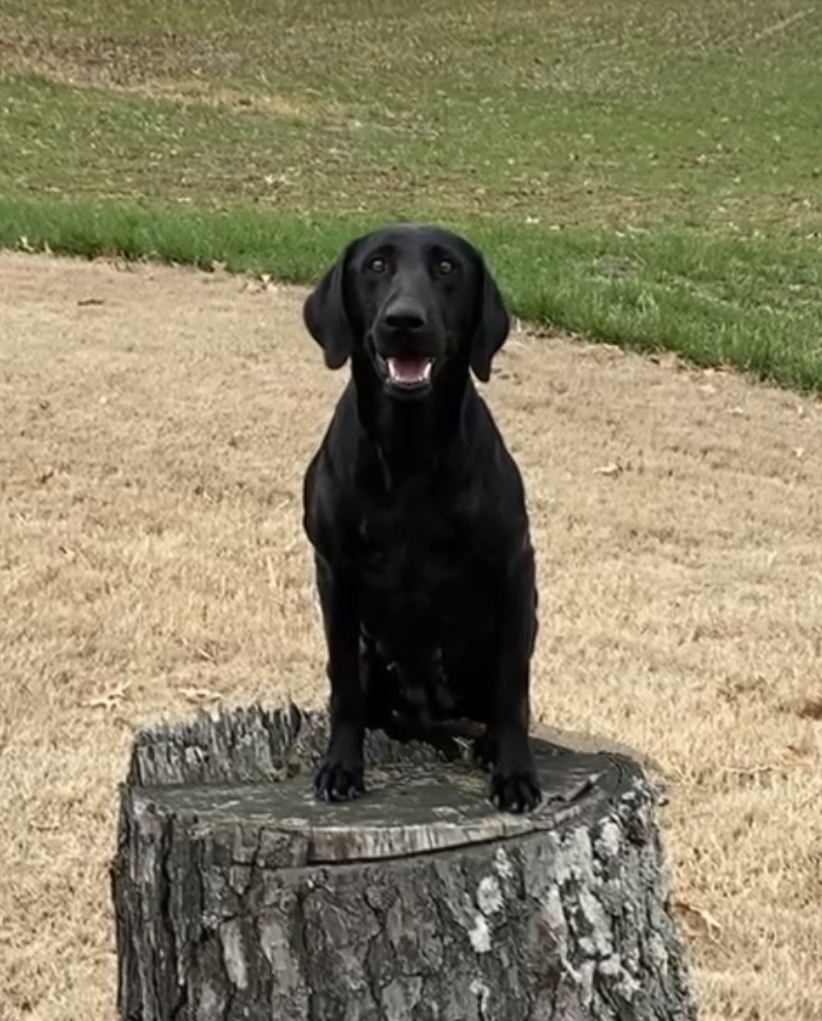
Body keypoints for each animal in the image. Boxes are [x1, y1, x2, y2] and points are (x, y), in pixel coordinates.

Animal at [298, 223, 543, 812]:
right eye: (376, 265)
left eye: (447, 267)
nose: (404, 320)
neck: (408, 449)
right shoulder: (334, 571)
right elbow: (342, 685)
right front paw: (341, 767)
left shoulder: (515, 564)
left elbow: (513, 689)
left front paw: (514, 773)